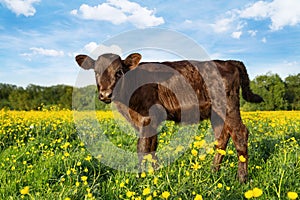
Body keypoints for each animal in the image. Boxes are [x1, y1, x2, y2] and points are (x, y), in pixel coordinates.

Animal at [76, 53, 264, 183]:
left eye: (119, 71)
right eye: (96, 72)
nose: (105, 94)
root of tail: (228, 61)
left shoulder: (146, 118)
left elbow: (142, 148)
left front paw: (140, 178)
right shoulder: (150, 122)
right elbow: (152, 147)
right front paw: (156, 173)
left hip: (228, 106)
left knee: (240, 133)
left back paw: (242, 179)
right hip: (216, 113)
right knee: (222, 137)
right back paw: (213, 172)